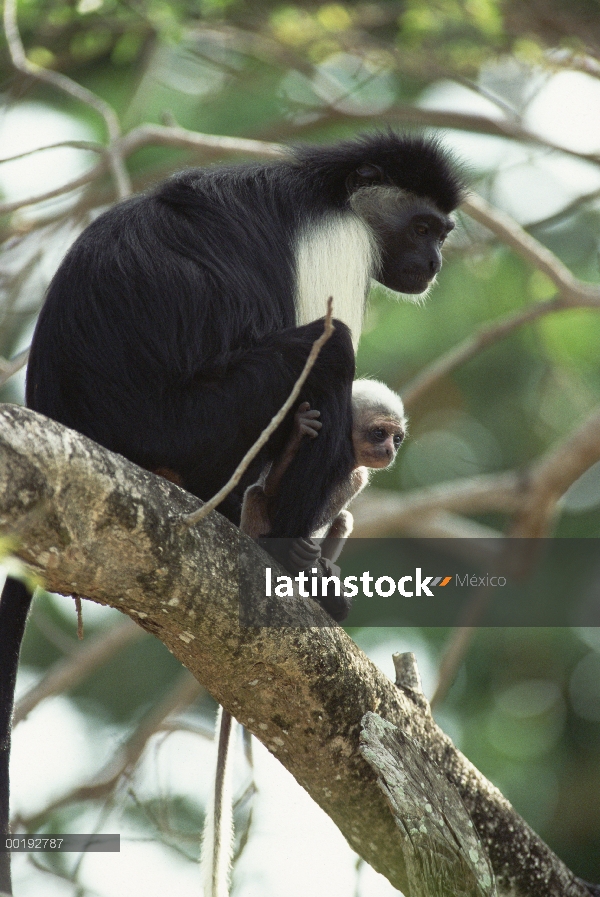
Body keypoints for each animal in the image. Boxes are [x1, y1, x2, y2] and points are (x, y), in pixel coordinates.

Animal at [241, 378, 406, 568]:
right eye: (380, 433)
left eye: (396, 439)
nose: (389, 450)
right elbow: (269, 488)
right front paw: (298, 431)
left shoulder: (359, 477)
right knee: (256, 493)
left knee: (343, 518)